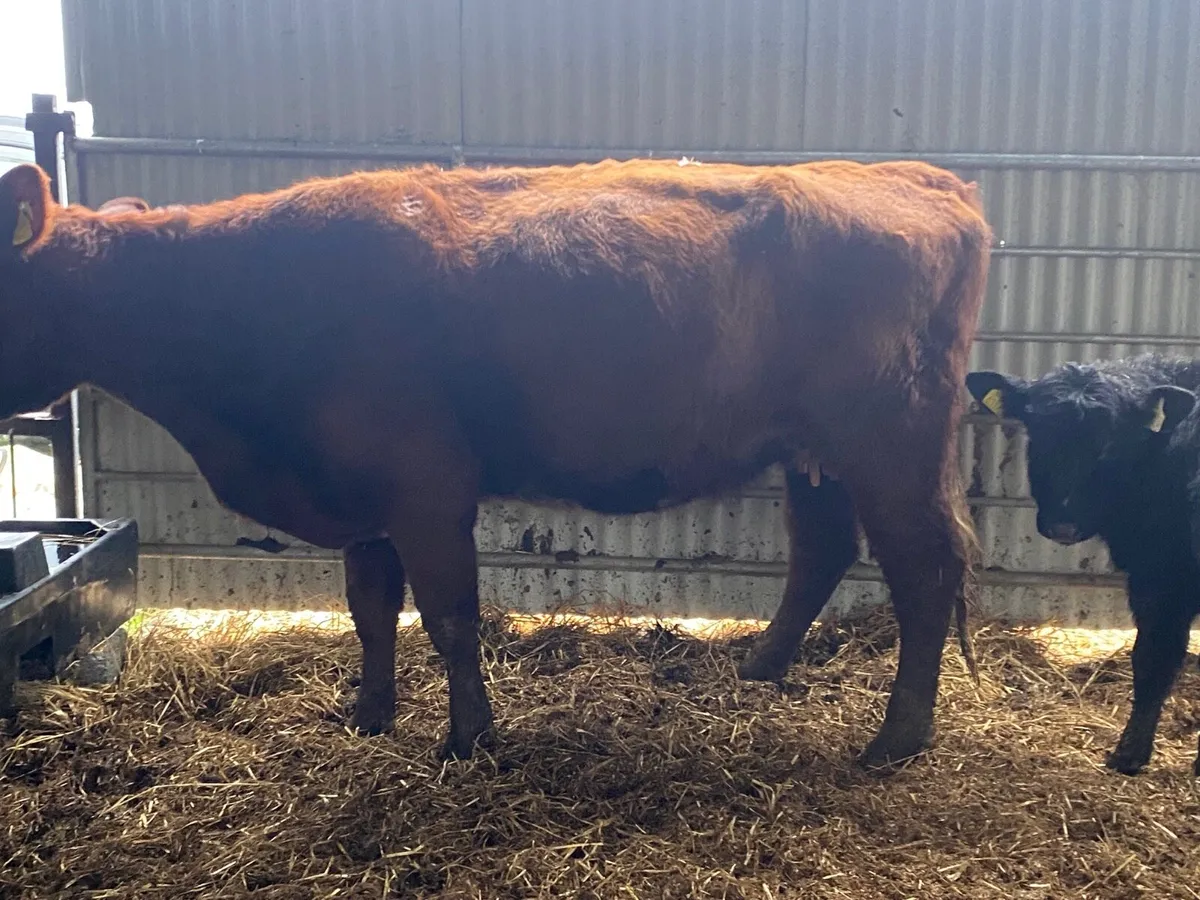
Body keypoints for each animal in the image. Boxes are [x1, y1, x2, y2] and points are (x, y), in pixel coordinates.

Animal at [0, 157, 991, 768]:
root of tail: (915, 177)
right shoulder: (362, 498)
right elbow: (370, 614)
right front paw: (369, 717)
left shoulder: (427, 488)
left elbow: (447, 617)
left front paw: (466, 740)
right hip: (812, 451)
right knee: (823, 549)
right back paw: (760, 670)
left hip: (891, 440)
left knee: (925, 567)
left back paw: (896, 740)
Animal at [968, 355, 1200, 775]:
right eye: (1038, 433)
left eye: (1111, 442)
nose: (1063, 524)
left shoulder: (1161, 576)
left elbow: (1153, 658)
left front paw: (1129, 754)